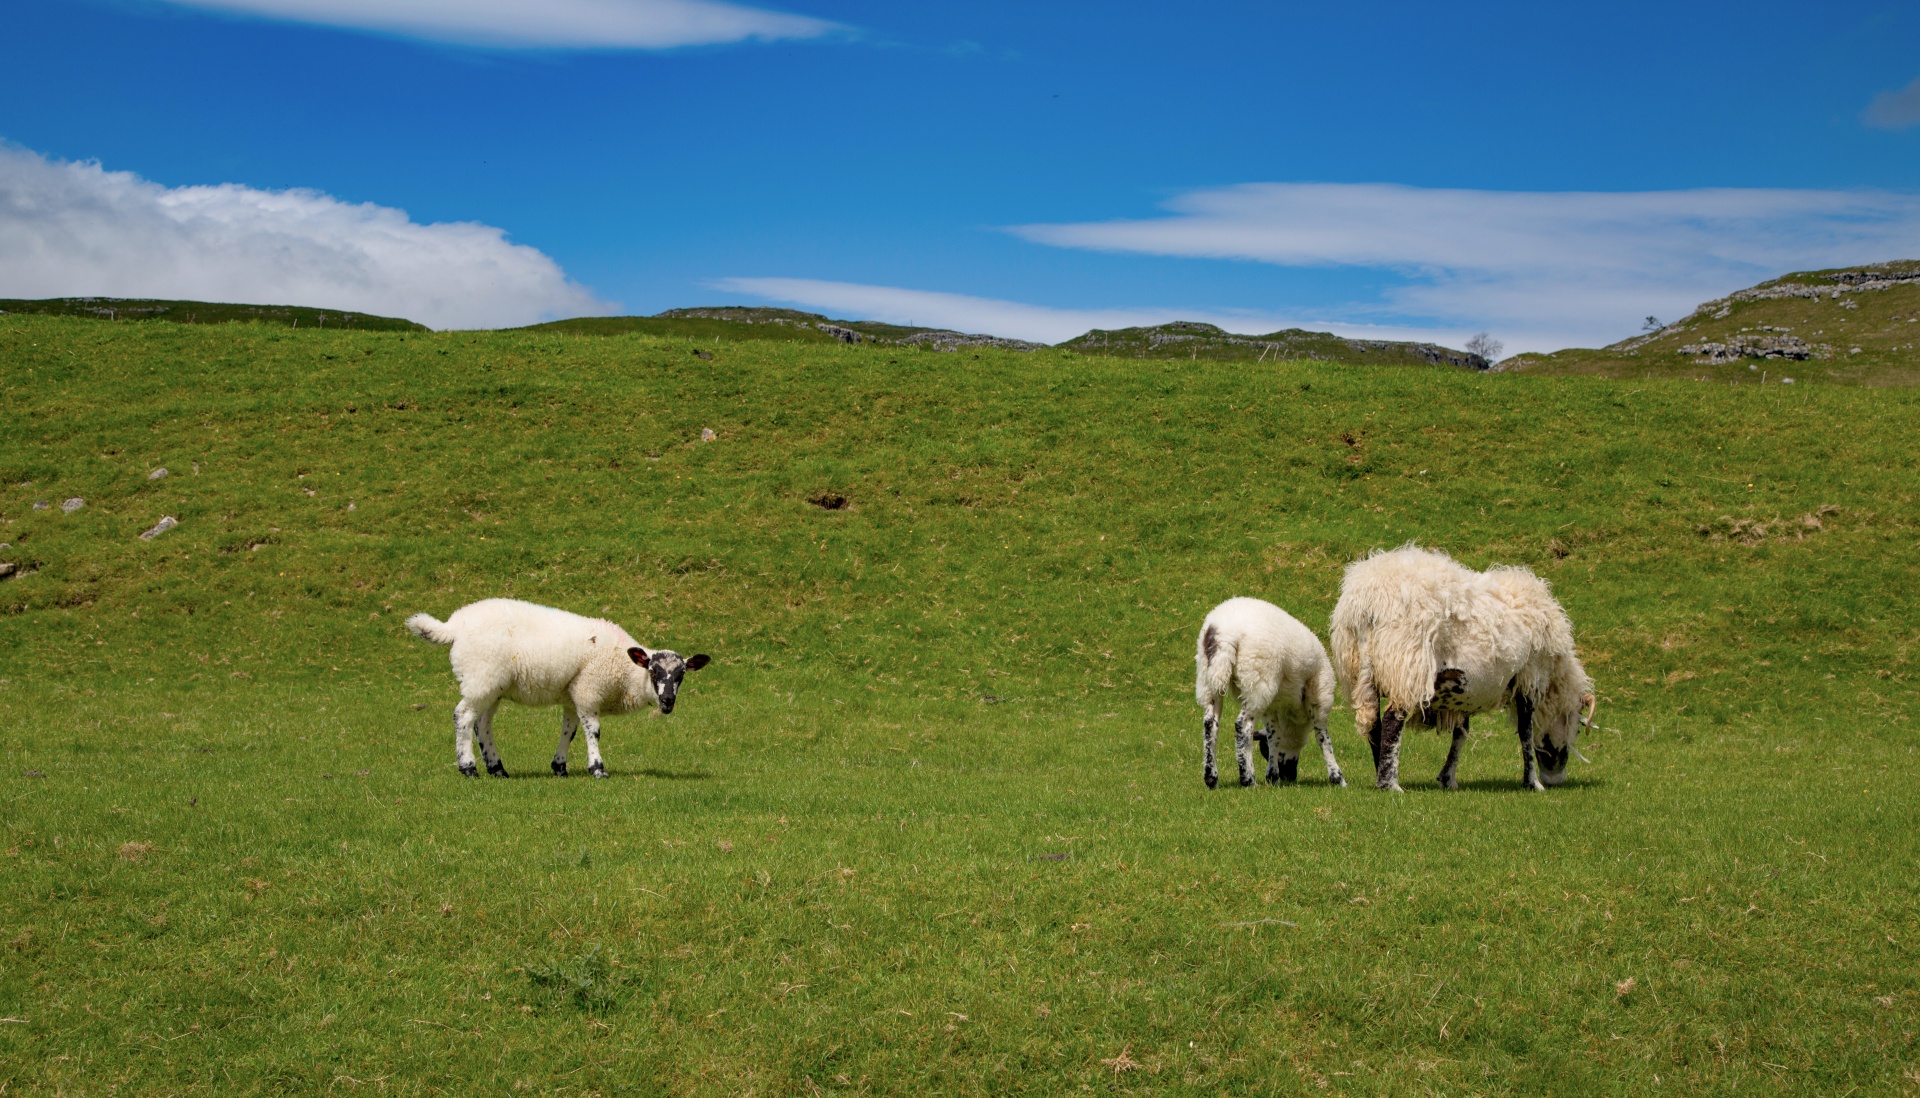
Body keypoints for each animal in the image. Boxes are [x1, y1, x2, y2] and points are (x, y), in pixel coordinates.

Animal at [407, 598, 714, 779]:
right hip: (480, 677)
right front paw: (598, 769)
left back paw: (497, 769)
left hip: (491, 684)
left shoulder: (573, 693)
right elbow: (593, 731)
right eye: (653, 671)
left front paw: (560, 767)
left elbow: (570, 730)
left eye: (682, 675)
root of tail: (453, 626)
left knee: (481, 723)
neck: (625, 670)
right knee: (462, 716)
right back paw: (469, 768)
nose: (668, 702)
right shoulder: (589, 690)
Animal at [1190, 598, 1344, 790]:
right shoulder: (1319, 694)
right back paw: (1248, 779)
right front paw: (1337, 777)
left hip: (1209, 680)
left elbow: (1274, 735)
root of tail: (1225, 633)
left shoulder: (1270, 707)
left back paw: (1211, 778)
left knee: (1210, 724)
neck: (1290, 716)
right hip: (1257, 679)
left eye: (1263, 750)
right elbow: (1322, 736)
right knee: (1242, 726)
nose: (1290, 776)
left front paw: (1273, 776)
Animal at [1328, 545, 1597, 794]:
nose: (1556, 779)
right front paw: (1532, 783)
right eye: (1574, 729)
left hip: (1359, 669)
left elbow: (1461, 733)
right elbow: (1526, 732)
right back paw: (1390, 783)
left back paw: (1380, 774)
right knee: (1392, 720)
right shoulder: (1529, 680)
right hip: (1406, 666)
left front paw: (1448, 778)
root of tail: (1368, 601)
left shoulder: (1466, 690)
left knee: (1374, 724)